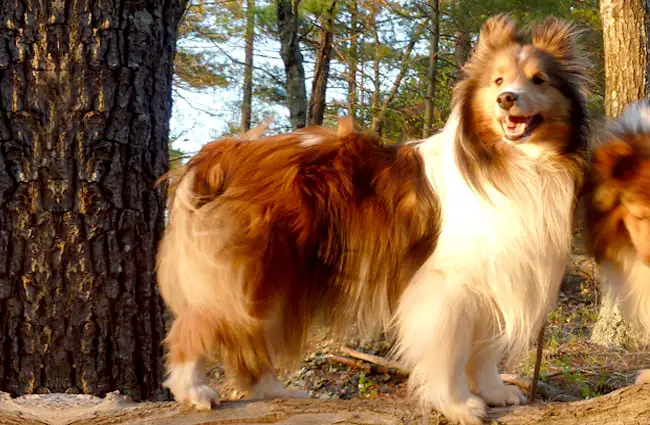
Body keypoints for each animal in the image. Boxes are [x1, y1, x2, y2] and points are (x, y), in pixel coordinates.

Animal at [156, 15, 588, 424]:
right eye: (498, 79)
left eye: (539, 79)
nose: (506, 98)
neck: (507, 162)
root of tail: (224, 152)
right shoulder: (450, 284)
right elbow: (451, 349)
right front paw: (457, 404)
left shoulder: (500, 272)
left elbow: (484, 349)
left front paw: (494, 391)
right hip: (250, 273)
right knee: (193, 328)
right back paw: (193, 390)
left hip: (277, 277)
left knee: (248, 339)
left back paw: (273, 391)